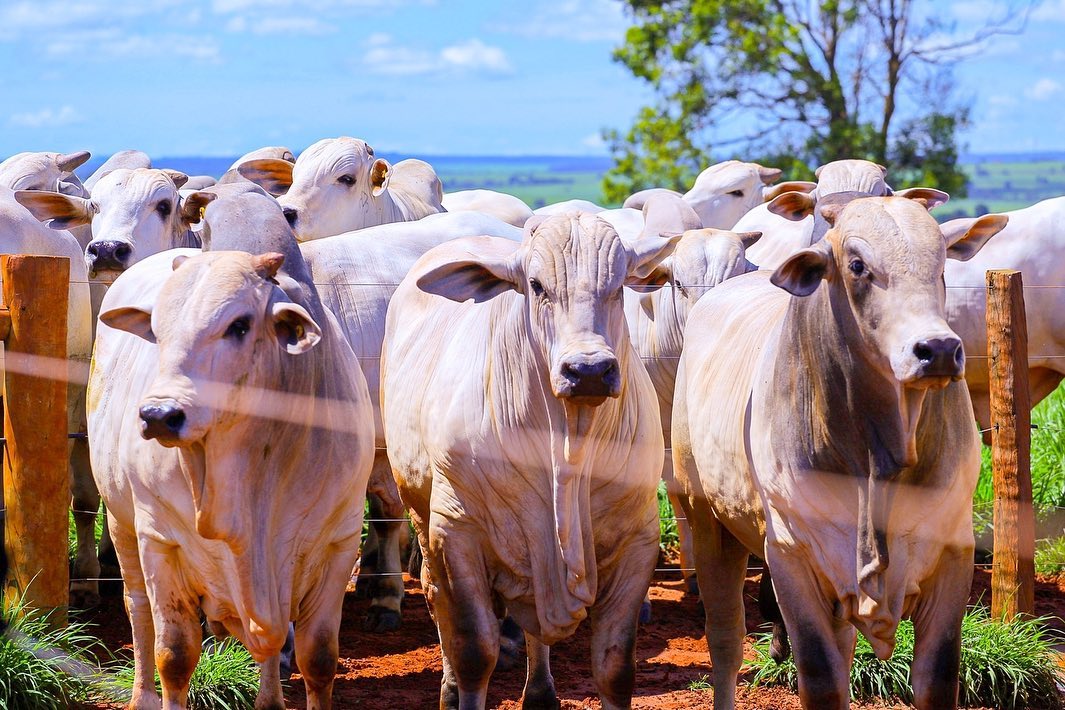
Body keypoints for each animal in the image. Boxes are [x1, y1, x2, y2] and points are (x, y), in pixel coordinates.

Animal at [92, 245, 374, 710]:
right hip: (120, 522)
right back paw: (142, 695)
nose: (158, 415)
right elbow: (174, 655)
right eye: (156, 331)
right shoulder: (159, 539)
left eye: (239, 325)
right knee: (137, 609)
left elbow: (317, 657)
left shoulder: (340, 541)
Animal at [383, 213, 677, 706]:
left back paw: (539, 692)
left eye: (619, 285)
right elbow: (474, 651)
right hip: (421, 514)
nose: (589, 370)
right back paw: (448, 688)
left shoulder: (638, 538)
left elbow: (615, 667)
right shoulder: (456, 530)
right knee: (435, 597)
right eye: (537, 285)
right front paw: (461, 687)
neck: (567, 445)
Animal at [673, 194, 1005, 710]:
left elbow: (937, 676)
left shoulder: (953, 552)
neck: (878, 459)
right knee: (725, 640)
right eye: (857, 265)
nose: (937, 349)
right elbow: (820, 675)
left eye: (942, 265)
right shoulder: (790, 554)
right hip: (706, 518)